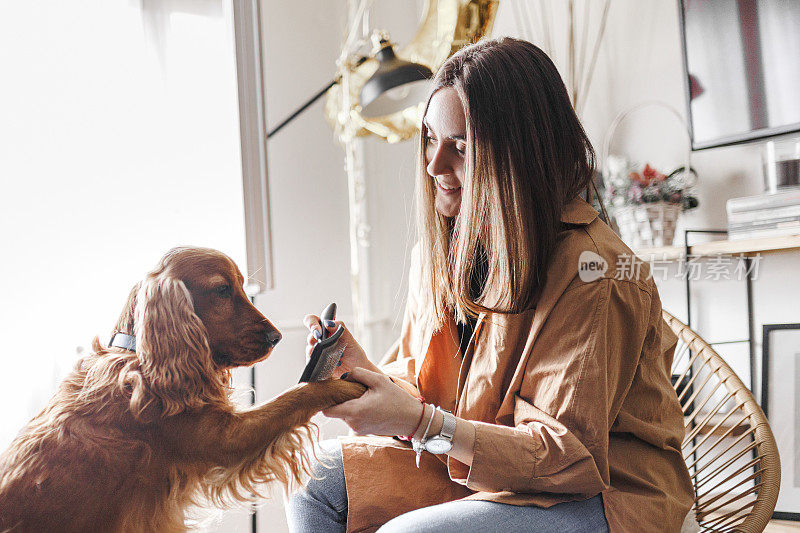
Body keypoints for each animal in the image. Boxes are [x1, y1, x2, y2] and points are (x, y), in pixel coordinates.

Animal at [0, 247, 366, 528]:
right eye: (222, 290)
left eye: (241, 287)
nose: (276, 337)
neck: (139, 357)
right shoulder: (227, 439)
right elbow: (296, 395)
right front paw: (342, 386)